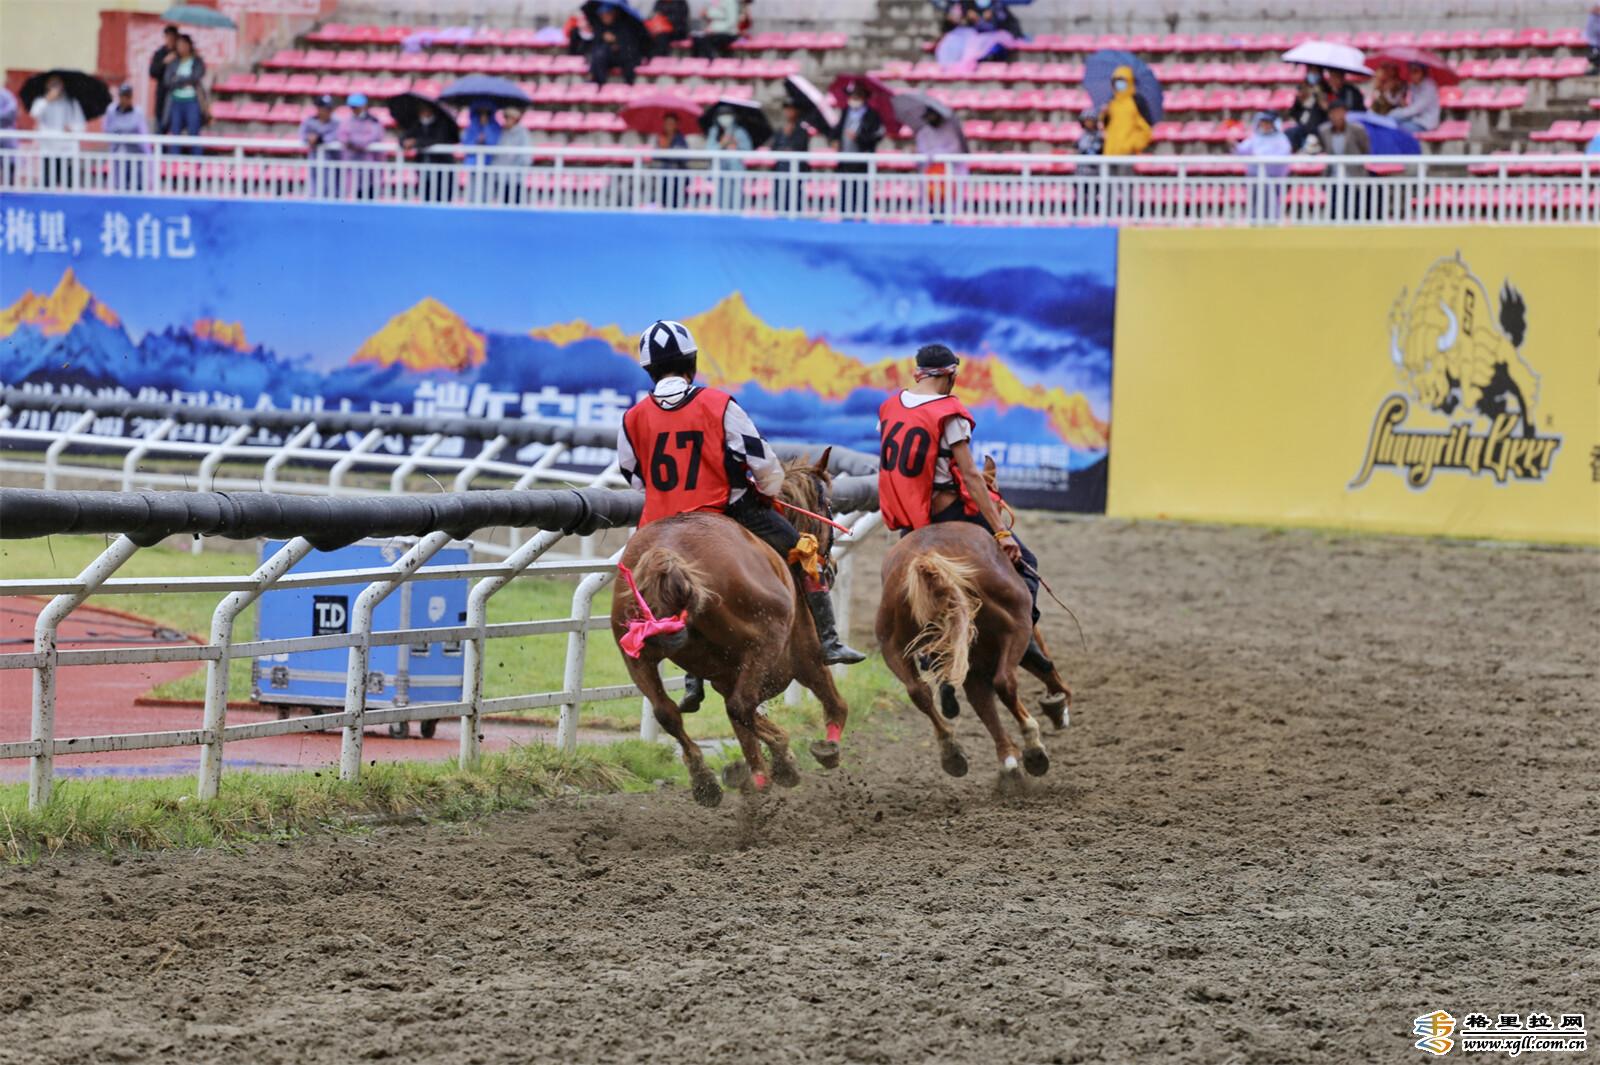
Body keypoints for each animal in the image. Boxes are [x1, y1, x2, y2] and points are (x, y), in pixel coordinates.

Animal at [876, 519, 1052, 787]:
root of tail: (927, 557)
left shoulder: (973, 664)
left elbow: (983, 705)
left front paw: (1008, 762)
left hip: (892, 645)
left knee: (919, 692)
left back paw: (951, 752)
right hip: (1016, 624)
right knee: (1005, 682)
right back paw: (1034, 749)